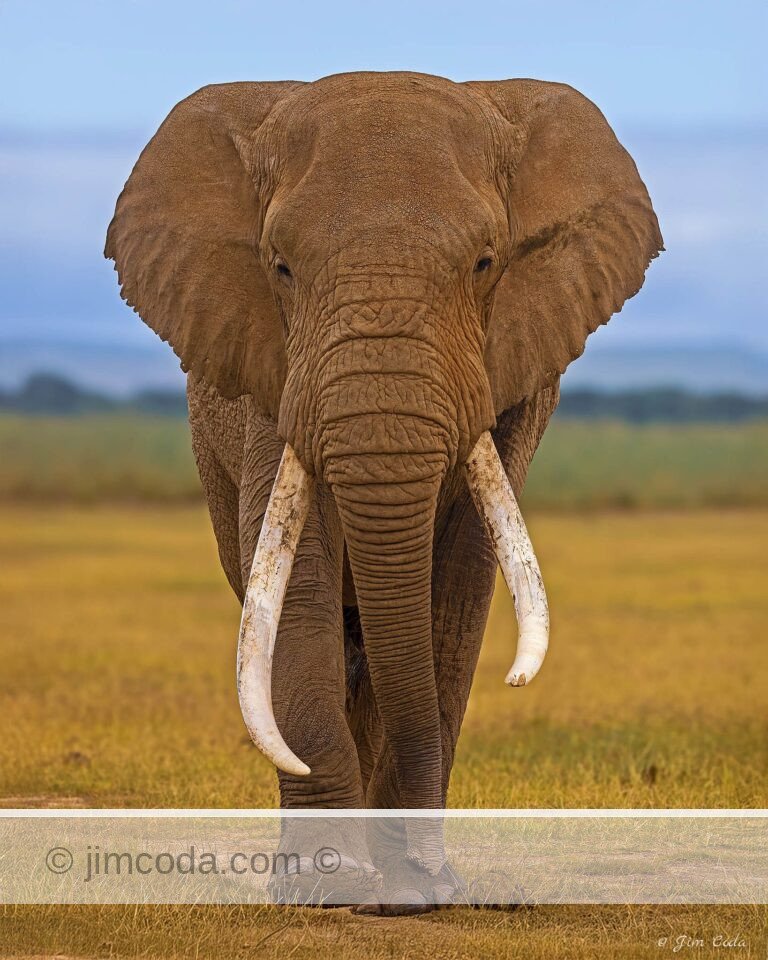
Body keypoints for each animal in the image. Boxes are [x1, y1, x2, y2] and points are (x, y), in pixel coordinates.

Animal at [106, 71, 661, 905]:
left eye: (486, 263)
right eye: (280, 267)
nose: (438, 880)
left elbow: (456, 585)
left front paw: (415, 893)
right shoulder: (274, 368)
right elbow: (300, 582)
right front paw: (329, 888)